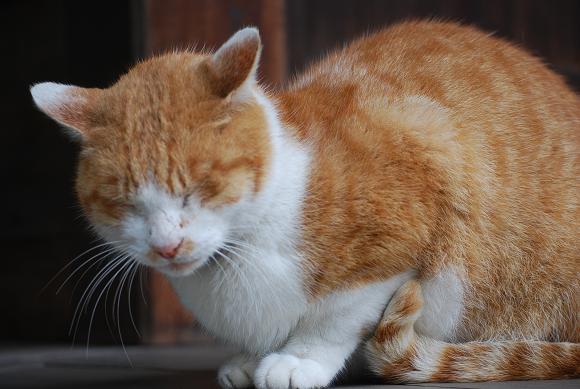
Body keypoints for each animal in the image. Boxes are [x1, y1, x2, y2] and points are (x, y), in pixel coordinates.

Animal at [32, 21, 580, 388]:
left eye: (200, 186)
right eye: (124, 201)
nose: (167, 246)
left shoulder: (407, 213)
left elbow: (340, 317)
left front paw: (299, 359)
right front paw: (250, 359)